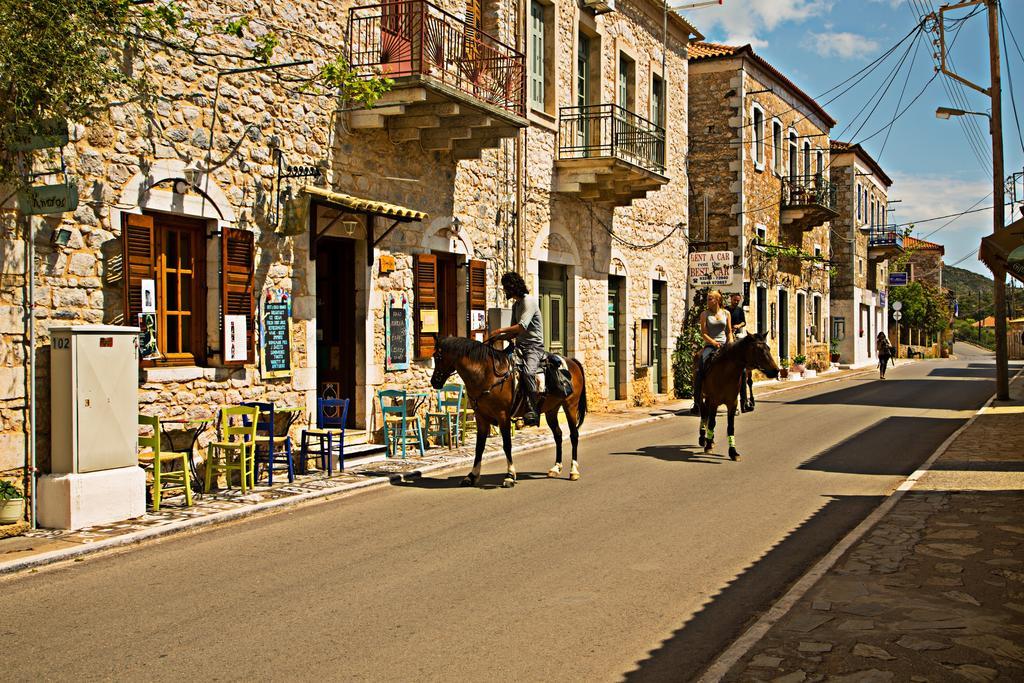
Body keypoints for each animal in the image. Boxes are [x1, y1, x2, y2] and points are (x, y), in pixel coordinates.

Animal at [430, 335, 589, 485]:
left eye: (437, 357)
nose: (434, 381)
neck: (486, 373)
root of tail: (571, 361)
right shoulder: (481, 417)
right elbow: (479, 446)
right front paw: (472, 476)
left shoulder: (503, 416)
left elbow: (507, 445)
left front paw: (510, 475)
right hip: (551, 410)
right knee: (558, 435)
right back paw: (556, 468)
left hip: (570, 406)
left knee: (574, 435)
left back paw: (573, 470)